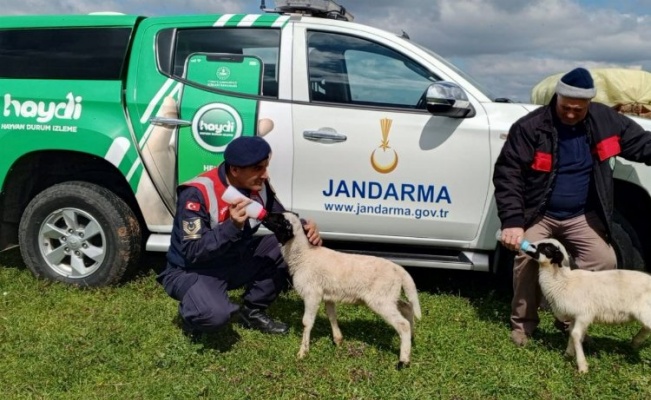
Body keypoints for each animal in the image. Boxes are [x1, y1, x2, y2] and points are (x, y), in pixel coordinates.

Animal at [264, 211, 422, 370]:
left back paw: (403, 361)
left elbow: (306, 322)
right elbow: (332, 316)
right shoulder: (328, 295)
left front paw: (303, 352)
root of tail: (399, 269)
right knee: (408, 308)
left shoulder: (312, 294)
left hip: (381, 299)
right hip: (388, 295)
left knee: (403, 324)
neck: (304, 255)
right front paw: (338, 340)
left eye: (280, 220)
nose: (265, 215)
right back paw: (412, 337)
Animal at [528, 238, 651, 372]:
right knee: (646, 328)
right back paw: (635, 342)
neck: (562, 281)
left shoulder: (584, 315)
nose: (527, 245)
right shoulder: (575, 316)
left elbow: (576, 334)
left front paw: (582, 366)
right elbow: (572, 333)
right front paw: (568, 355)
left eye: (546, 248)